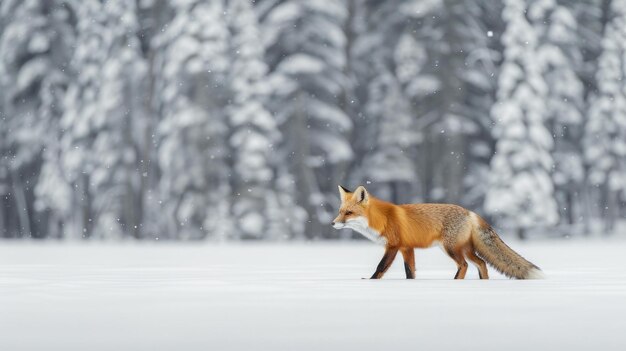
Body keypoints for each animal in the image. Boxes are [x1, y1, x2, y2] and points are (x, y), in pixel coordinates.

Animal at [332, 184, 540, 280]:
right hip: (465, 249)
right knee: (481, 263)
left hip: (451, 249)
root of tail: (470, 212)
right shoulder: (407, 248)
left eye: (349, 213)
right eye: (340, 211)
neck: (382, 219)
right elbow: (410, 271)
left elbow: (380, 267)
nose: (333, 224)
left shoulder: (393, 246)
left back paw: (455, 283)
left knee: (464, 265)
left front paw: (370, 281)